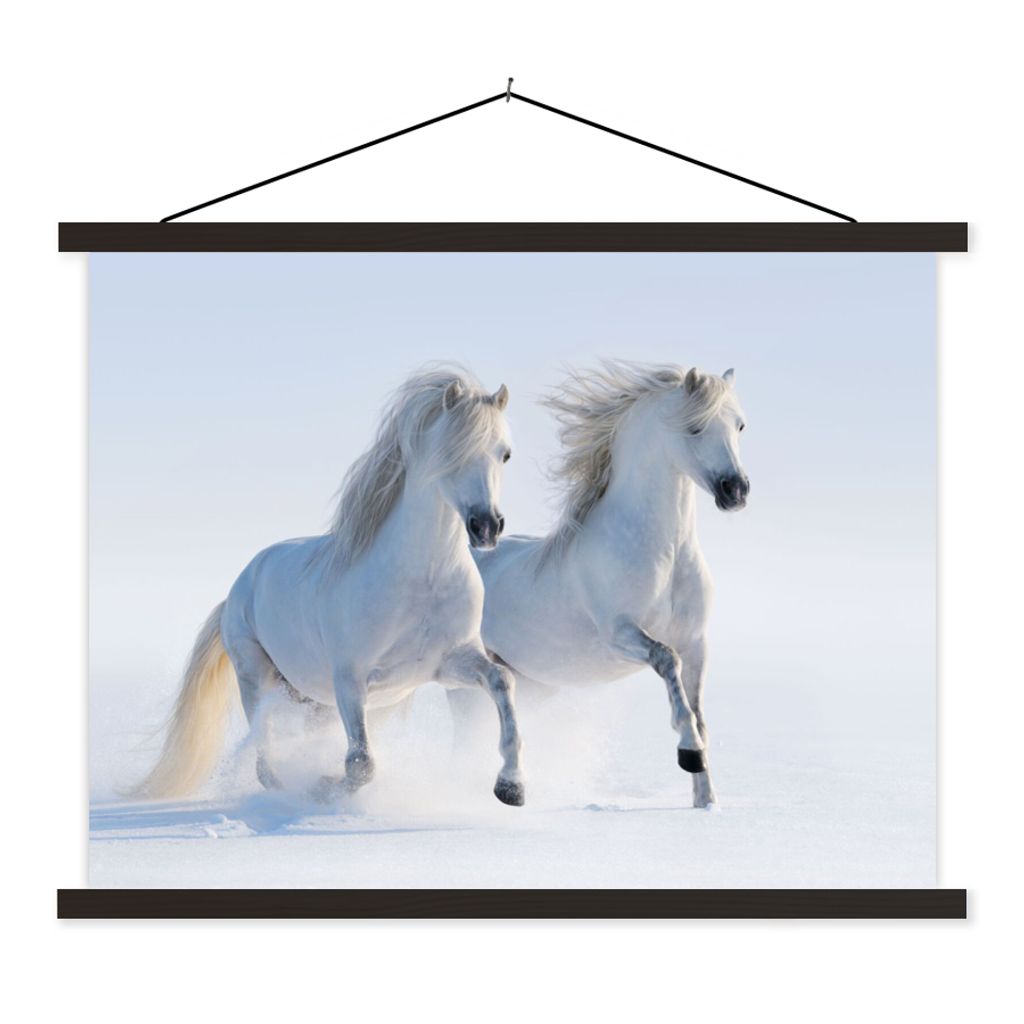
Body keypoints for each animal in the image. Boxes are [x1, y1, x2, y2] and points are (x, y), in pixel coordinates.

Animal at [135, 367, 527, 807]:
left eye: (505, 453)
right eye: (451, 451)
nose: (486, 526)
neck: (422, 580)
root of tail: (238, 587)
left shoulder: (449, 663)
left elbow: (503, 681)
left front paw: (511, 786)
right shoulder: (350, 680)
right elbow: (361, 764)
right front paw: (323, 788)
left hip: (316, 701)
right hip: (256, 677)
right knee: (263, 756)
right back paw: (287, 790)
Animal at [458, 361, 749, 809]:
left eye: (739, 425)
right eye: (695, 427)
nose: (736, 490)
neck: (665, 553)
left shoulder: (696, 643)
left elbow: (700, 713)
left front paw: (705, 800)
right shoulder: (621, 634)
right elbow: (667, 663)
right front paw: (688, 753)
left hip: (533, 682)